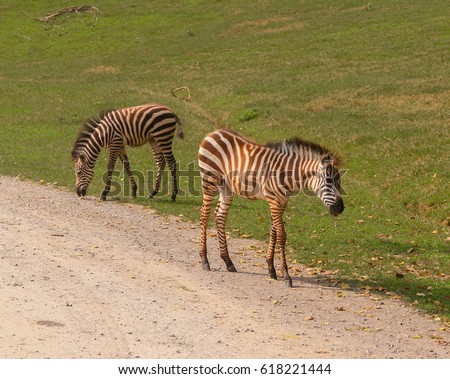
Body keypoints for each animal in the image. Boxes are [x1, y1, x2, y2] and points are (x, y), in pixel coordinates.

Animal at [198, 128, 344, 288]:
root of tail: (214, 132)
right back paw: (205, 260)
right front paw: (286, 275)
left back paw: (228, 261)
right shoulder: (274, 201)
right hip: (209, 180)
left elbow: (273, 232)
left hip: (226, 187)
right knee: (204, 215)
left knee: (220, 216)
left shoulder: (282, 202)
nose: (340, 207)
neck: (287, 174)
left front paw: (271, 269)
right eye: (329, 180)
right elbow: (281, 235)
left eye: (339, 181)